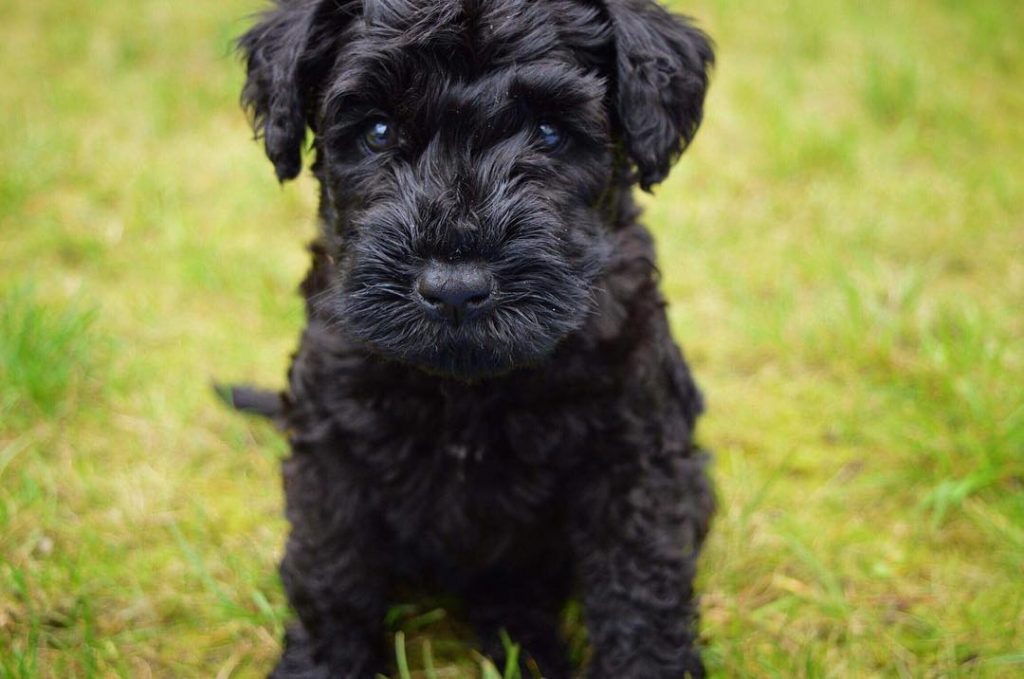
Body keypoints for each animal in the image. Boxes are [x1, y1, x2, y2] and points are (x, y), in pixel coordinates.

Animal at [230, 0, 712, 675]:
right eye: (378, 130)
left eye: (549, 133)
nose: (455, 289)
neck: (468, 390)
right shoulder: (333, 454)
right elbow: (331, 580)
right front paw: (320, 665)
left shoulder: (636, 458)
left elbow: (642, 590)